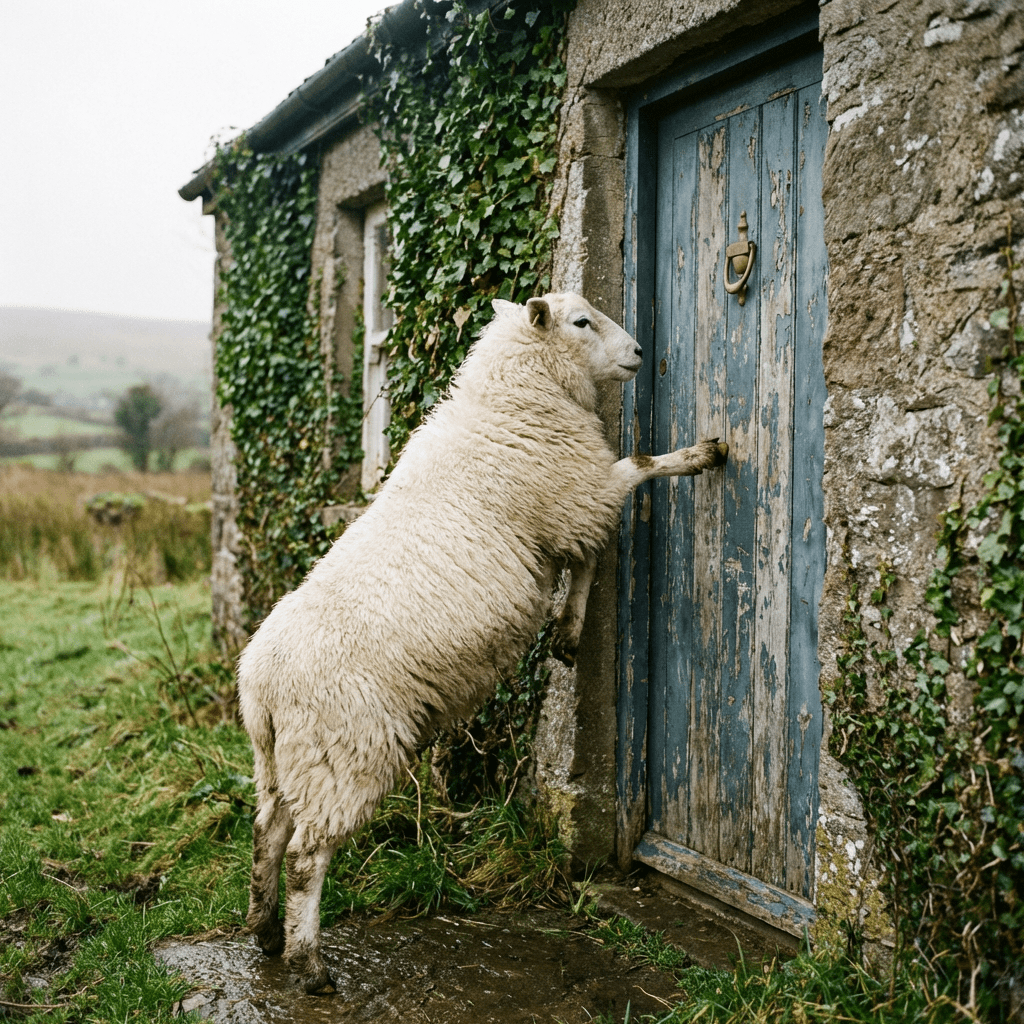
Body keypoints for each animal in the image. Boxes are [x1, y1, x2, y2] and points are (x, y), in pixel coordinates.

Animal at [236, 292, 727, 993]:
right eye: (581, 322)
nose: (638, 352)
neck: (513, 395)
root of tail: (260, 686)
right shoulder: (575, 496)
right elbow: (633, 474)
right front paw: (700, 455)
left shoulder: (564, 515)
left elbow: (585, 562)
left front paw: (567, 635)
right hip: (346, 751)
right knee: (307, 854)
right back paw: (310, 963)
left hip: (283, 759)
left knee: (267, 831)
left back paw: (266, 930)